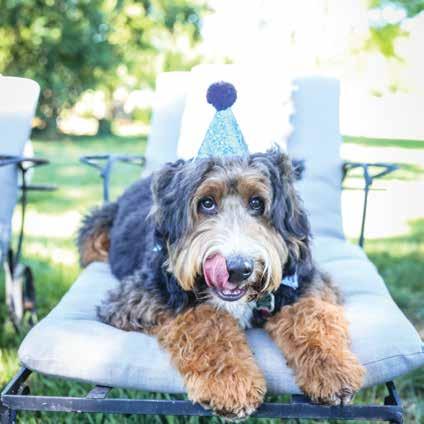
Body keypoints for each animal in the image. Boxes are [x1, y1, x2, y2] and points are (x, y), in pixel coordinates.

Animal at [78, 147, 365, 420]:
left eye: (257, 203)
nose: (238, 269)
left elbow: (311, 316)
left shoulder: (306, 285)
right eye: (206, 203)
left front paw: (332, 369)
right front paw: (232, 383)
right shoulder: (137, 298)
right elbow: (206, 320)